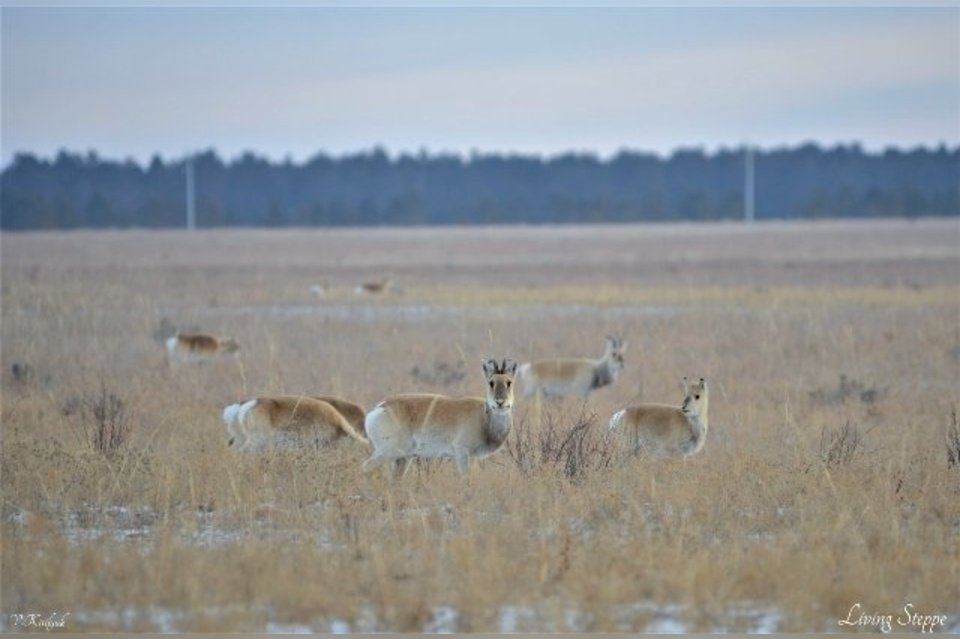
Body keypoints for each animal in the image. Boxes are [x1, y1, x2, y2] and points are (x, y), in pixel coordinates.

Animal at [364, 358, 516, 478]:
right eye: (491, 382)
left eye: (509, 382)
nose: (500, 402)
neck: (484, 417)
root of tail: (381, 407)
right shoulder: (462, 454)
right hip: (389, 452)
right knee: (365, 467)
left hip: (403, 458)